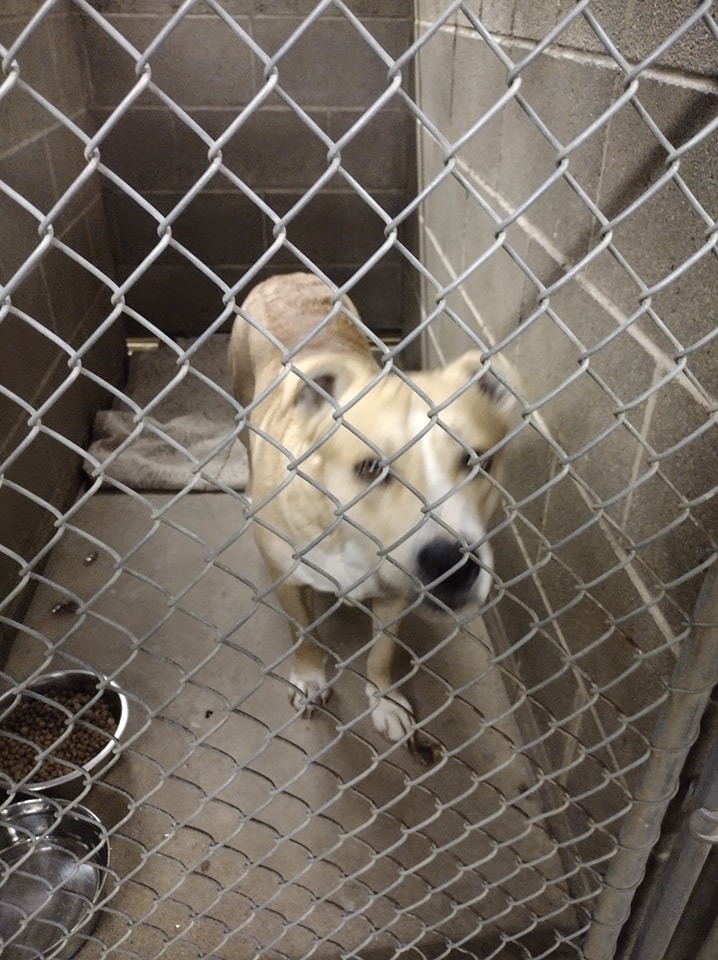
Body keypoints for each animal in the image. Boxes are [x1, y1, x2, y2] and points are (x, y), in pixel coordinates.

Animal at [231, 270, 512, 756]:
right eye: (370, 468)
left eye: (477, 461)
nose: (452, 565)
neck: (347, 532)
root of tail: (286, 275)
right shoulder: (288, 578)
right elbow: (305, 633)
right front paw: (309, 678)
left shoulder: (396, 597)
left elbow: (383, 651)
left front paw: (384, 700)